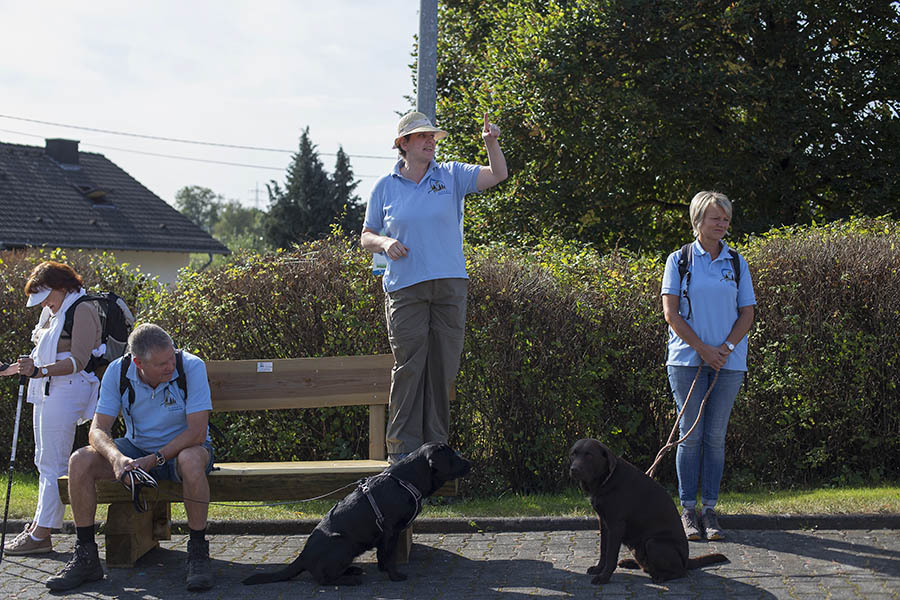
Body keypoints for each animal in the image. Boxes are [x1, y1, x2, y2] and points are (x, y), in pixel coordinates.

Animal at [243, 440, 474, 584]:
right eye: (453, 456)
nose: (470, 463)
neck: (405, 481)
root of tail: (303, 556)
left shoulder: (385, 534)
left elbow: (382, 555)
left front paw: (384, 570)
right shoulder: (391, 530)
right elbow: (389, 555)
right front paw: (395, 576)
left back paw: (353, 570)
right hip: (344, 543)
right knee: (322, 579)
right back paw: (351, 579)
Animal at [572, 438, 728, 584]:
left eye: (589, 455)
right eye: (573, 454)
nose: (574, 469)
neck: (605, 480)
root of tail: (686, 561)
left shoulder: (616, 525)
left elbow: (611, 555)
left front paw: (603, 577)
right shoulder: (604, 523)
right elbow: (603, 550)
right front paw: (598, 569)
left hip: (653, 543)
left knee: (680, 572)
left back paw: (660, 577)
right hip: (637, 547)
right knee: (646, 566)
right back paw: (630, 563)